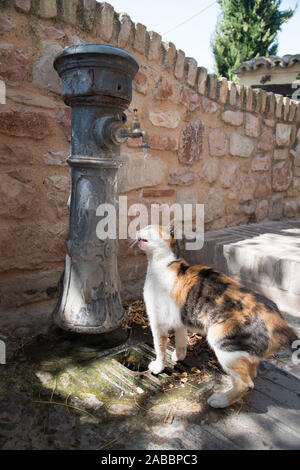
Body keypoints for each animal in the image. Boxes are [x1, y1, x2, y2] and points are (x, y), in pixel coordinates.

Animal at [137, 224, 298, 408]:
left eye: (149, 227)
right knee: (252, 370)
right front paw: (179, 356)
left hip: (221, 340)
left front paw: (158, 366)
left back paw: (219, 400)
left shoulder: (157, 321)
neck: (163, 264)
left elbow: (159, 347)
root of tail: (280, 322)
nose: (137, 229)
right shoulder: (180, 319)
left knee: (247, 384)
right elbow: (181, 340)